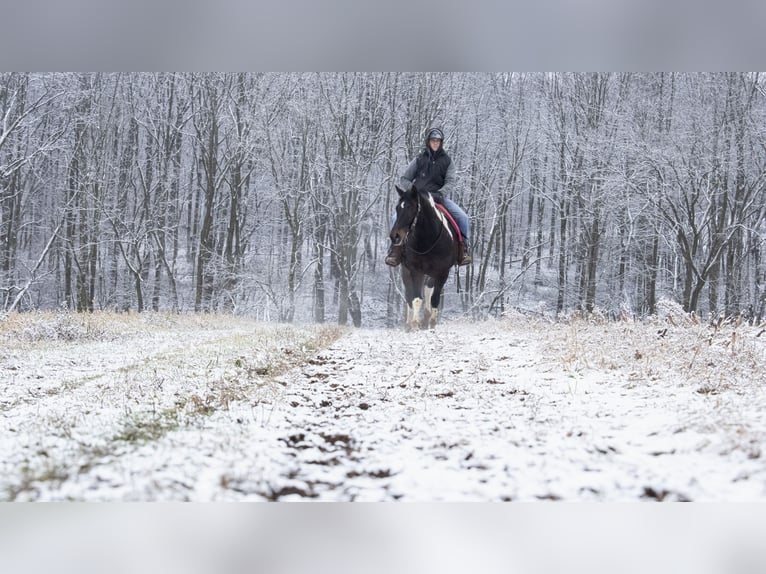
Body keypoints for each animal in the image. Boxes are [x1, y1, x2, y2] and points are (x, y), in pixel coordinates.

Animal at [392, 186, 460, 332]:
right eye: (397, 208)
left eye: (411, 207)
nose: (395, 236)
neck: (427, 239)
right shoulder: (416, 271)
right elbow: (416, 298)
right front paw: (414, 323)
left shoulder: (442, 272)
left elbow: (434, 297)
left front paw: (432, 323)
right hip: (406, 271)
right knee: (409, 294)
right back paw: (409, 323)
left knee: (428, 290)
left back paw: (426, 319)